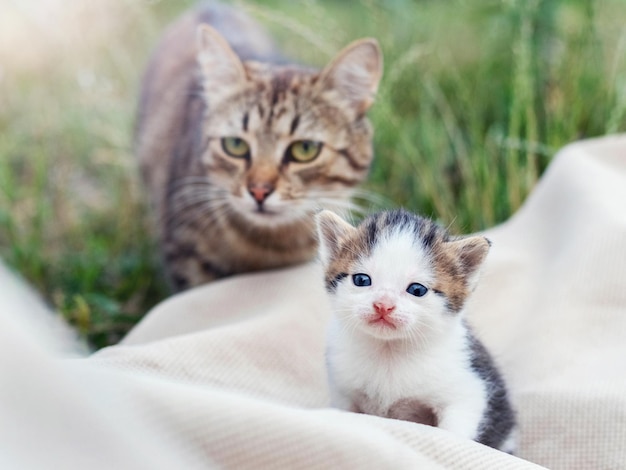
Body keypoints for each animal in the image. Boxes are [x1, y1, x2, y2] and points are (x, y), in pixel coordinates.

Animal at [314, 209, 516, 452]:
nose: (383, 305)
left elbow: (455, 432)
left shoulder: (470, 389)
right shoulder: (343, 392)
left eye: (417, 289)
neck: (389, 350)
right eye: (361, 279)